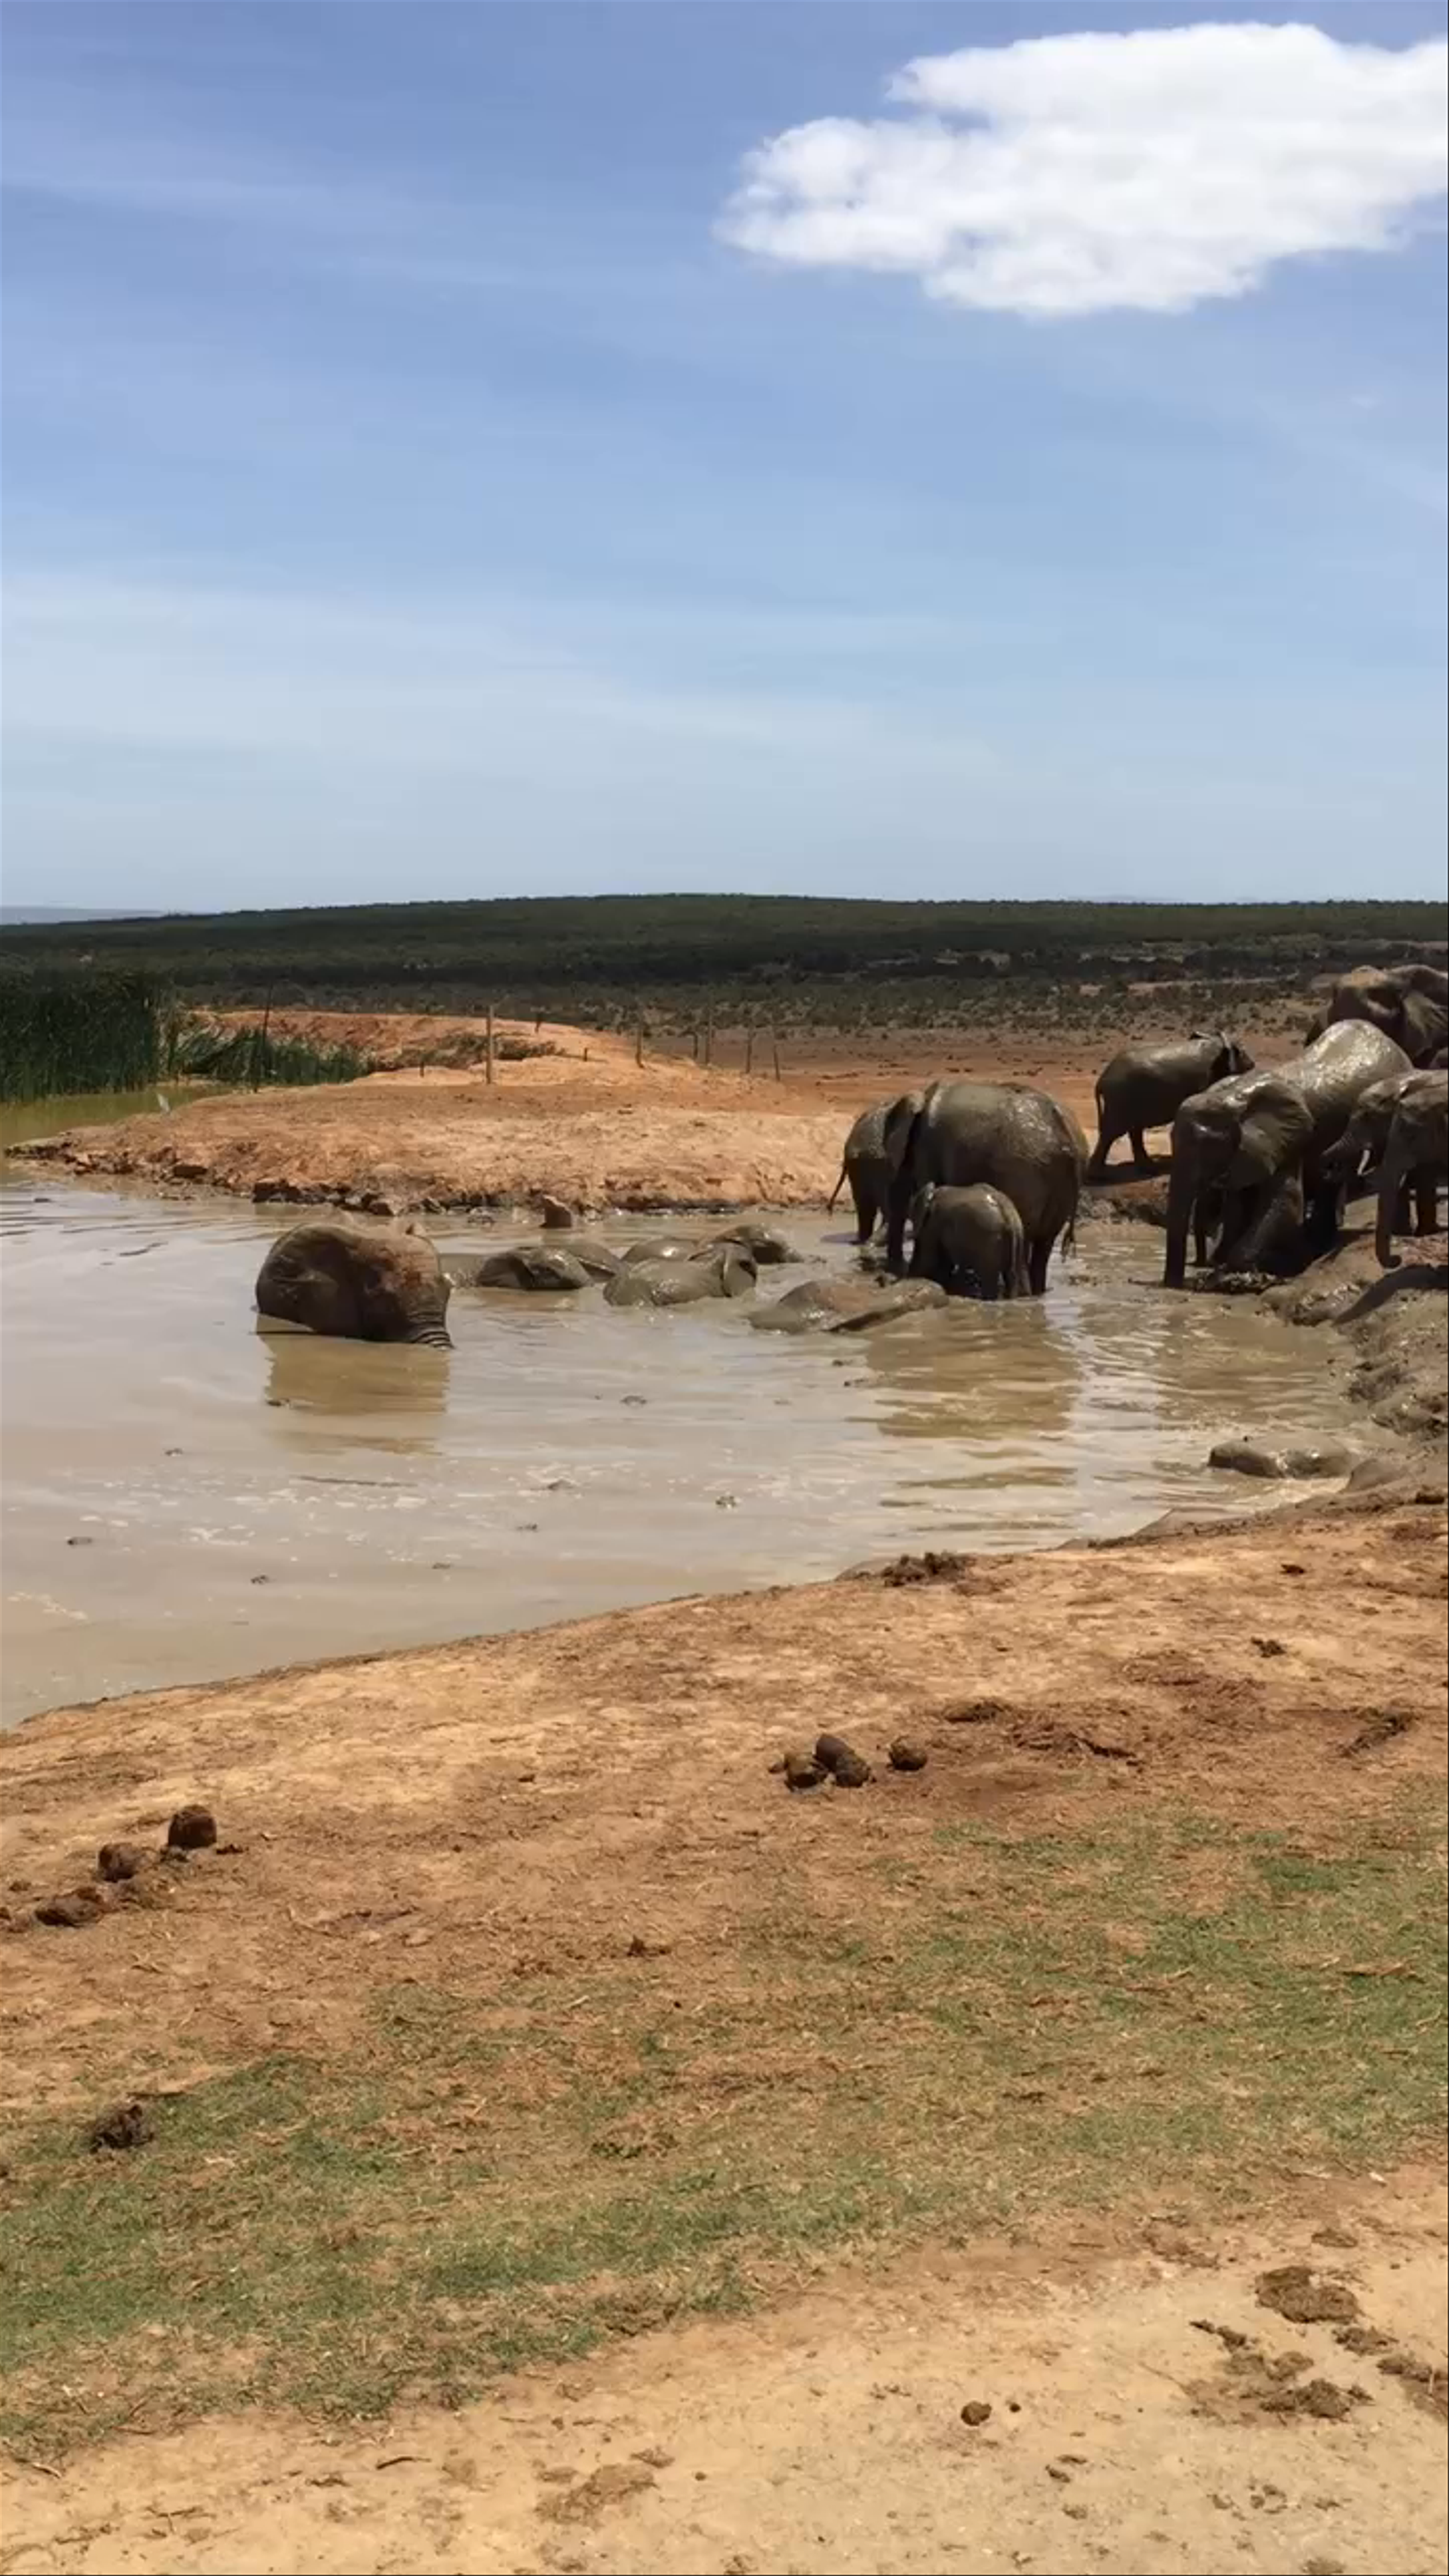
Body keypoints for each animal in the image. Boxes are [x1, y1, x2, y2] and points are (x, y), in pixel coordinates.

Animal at [908, 1183, 1030, 1300]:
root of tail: (1007, 1211)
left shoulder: (933, 1224)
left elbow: (929, 1261)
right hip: (1017, 1235)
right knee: (1015, 1272)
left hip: (989, 1239)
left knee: (989, 1279)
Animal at [1088, 1032, 1252, 1179]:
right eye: (1242, 1054)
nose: (1253, 1065)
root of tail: (1101, 1081)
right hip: (1120, 1099)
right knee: (1112, 1134)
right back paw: (1099, 1178)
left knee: (1134, 1131)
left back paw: (1150, 1169)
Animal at [1163, 1022, 1411, 1288]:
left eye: (1209, 1147)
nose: (1174, 1284)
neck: (1235, 1096)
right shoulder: (1253, 1149)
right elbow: (1240, 1203)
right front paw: (1222, 1266)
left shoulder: (1291, 1139)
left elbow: (1286, 1201)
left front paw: (1234, 1274)